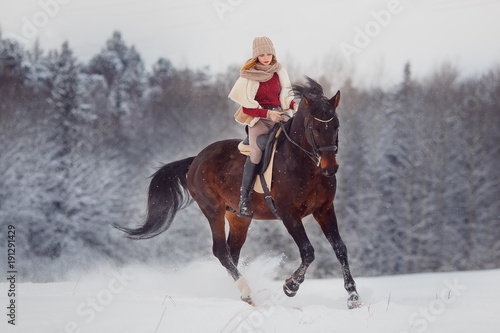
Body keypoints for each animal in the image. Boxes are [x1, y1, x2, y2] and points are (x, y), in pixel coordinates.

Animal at [114, 76, 362, 308]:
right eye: (314, 128)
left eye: (337, 126)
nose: (330, 169)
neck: (305, 164)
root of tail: (196, 159)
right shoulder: (288, 213)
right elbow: (308, 251)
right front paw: (290, 287)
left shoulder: (324, 209)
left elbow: (340, 248)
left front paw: (353, 296)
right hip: (212, 210)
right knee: (221, 252)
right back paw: (247, 292)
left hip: (239, 218)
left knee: (232, 253)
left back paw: (237, 293)